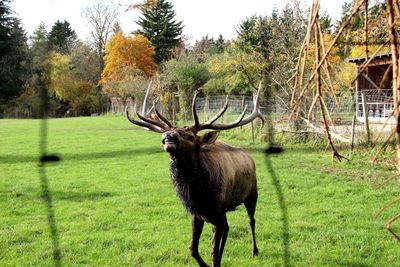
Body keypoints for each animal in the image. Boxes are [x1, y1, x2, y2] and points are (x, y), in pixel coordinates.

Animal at [126, 83, 264, 266]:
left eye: (191, 137)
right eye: (171, 130)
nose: (168, 136)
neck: (198, 194)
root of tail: (250, 157)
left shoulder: (217, 212)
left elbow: (213, 252)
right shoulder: (198, 214)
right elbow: (193, 249)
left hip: (252, 195)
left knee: (251, 221)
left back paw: (255, 251)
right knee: (228, 228)